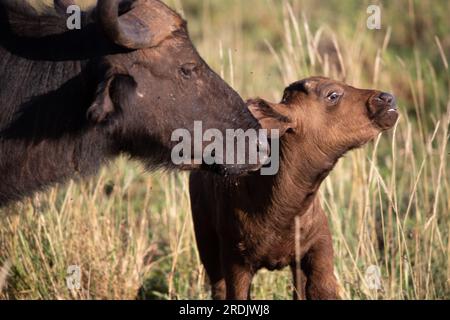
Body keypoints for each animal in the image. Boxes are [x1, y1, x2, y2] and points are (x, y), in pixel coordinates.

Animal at [188, 76, 400, 298]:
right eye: (332, 95)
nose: (388, 98)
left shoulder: (320, 246)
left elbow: (321, 290)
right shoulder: (235, 260)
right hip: (207, 244)